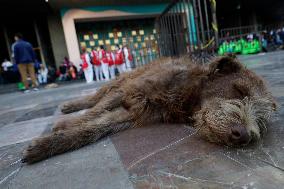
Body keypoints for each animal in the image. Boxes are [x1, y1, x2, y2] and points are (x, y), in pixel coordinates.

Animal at [22, 56, 278, 164]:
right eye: (238, 90)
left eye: (260, 121)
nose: (243, 135)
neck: (186, 97)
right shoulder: (130, 92)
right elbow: (97, 112)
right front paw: (62, 126)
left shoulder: (135, 112)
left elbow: (97, 127)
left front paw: (52, 142)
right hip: (120, 80)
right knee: (96, 97)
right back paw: (70, 106)